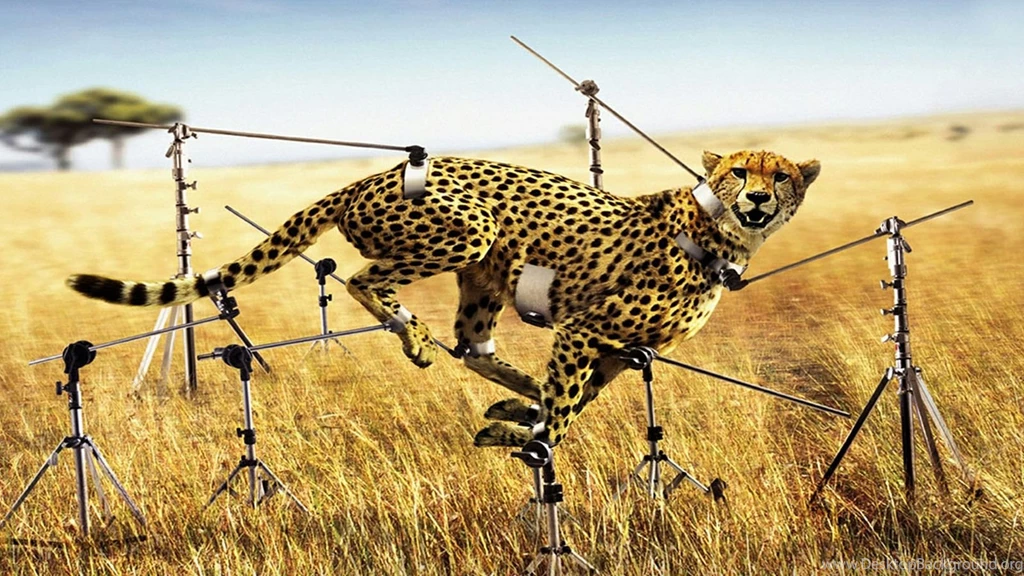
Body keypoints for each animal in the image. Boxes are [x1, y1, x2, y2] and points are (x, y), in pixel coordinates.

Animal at [66, 149, 820, 448]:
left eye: (779, 176)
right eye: (738, 172)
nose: (757, 198)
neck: (721, 233)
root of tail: (368, 176)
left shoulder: (620, 348)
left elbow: (574, 403)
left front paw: (520, 419)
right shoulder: (585, 329)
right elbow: (564, 417)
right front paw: (528, 437)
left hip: (485, 275)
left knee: (474, 346)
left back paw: (508, 383)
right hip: (468, 231)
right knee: (361, 279)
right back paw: (414, 336)